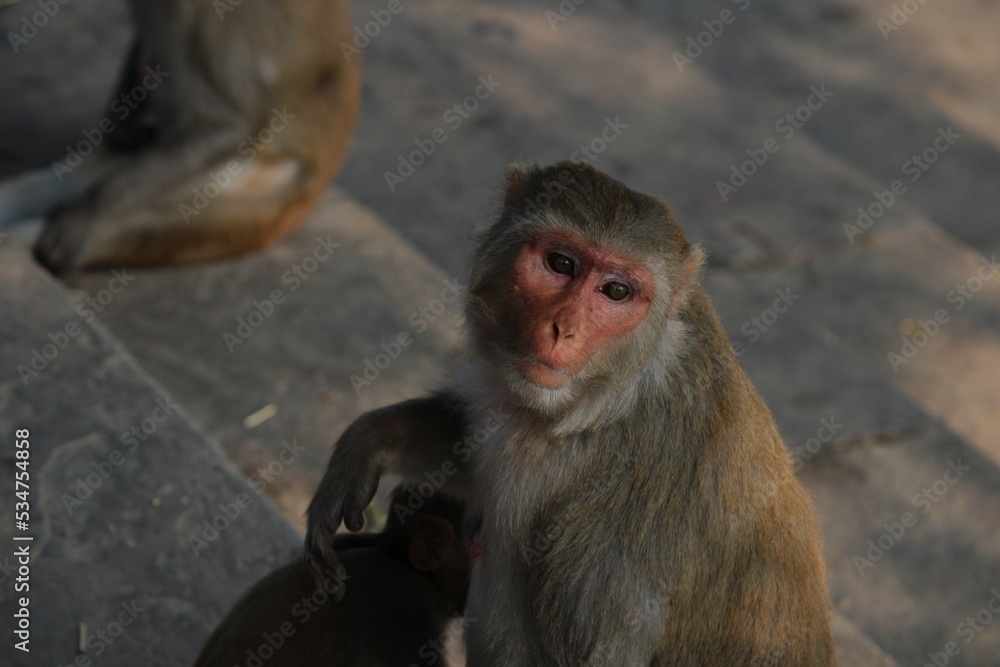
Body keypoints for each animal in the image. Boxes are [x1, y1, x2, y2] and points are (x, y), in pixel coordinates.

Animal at [305, 160, 838, 666]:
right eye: (561, 263)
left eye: (617, 292)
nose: (563, 329)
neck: (608, 402)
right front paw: (368, 441)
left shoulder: (613, 535)